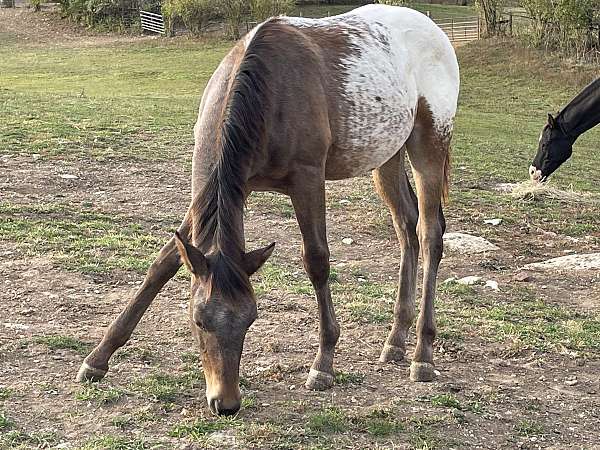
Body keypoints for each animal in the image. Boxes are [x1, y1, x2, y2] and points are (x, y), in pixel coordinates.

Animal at [75, 5, 460, 416]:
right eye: (199, 320)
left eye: (251, 319)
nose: (225, 403)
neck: (269, 90)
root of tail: (433, 29)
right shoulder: (217, 192)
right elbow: (163, 264)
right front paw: (98, 358)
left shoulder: (307, 180)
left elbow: (317, 261)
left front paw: (323, 363)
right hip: (386, 158)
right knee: (406, 229)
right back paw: (395, 340)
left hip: (429, 147)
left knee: (429, 235)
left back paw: (423, 353)